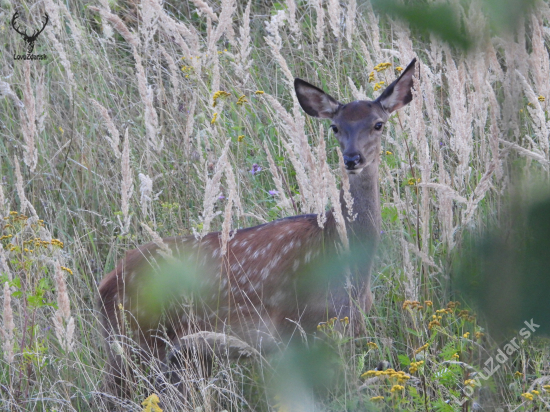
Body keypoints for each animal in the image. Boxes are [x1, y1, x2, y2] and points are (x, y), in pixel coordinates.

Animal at [99, 57, 418, 392]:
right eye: (335, 127)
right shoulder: (295, 326)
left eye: (378, 124)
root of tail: (105, 285)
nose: (352, 158)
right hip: (135, 341)